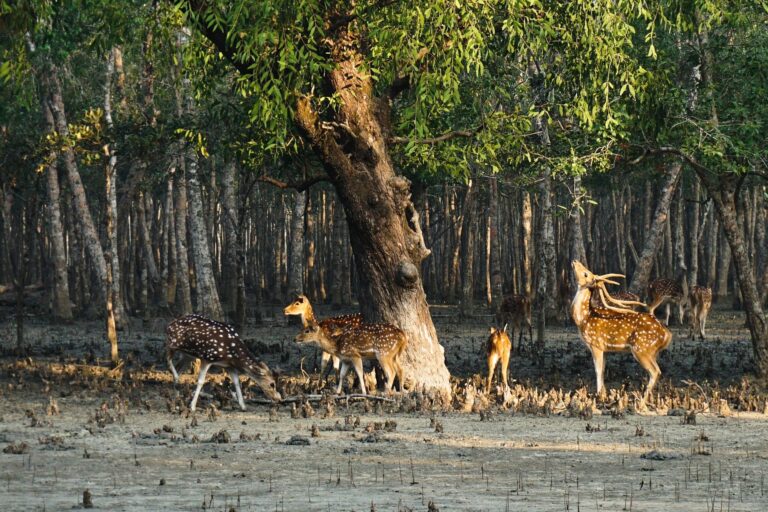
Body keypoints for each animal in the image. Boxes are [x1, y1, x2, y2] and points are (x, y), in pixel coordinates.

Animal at [571, 261, 672, 403]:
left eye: (586, 273)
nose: (575, 261)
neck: (584, 319)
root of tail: (667, 334)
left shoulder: (596, 344)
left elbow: (597, 370)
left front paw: (599, 396)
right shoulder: (604, 348)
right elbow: (603, 370)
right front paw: (604, 394)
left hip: (641, 348)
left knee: (655, 371)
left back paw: (642, 400)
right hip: (653, 351)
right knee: (657, 370)